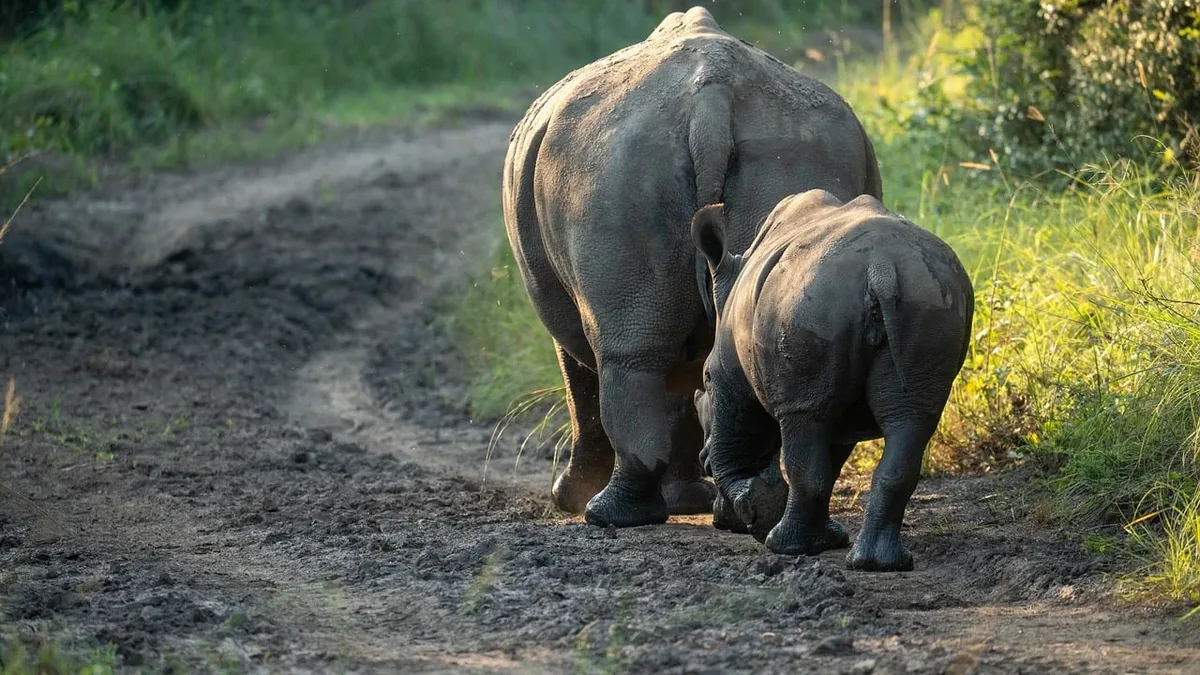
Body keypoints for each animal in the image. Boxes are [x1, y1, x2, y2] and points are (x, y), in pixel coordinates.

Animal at [502, 6, 882, 528]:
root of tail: (712, 96)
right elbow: (689, 390)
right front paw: (690, 500)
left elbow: (584, 385)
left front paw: (570, 497)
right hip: (795, 150)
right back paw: (752, 510)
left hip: (611, 165)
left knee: (629, 358)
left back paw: (608, 514)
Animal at [690, 190, 974, 571]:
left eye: (704, 379)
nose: (701, 460)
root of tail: (882, 269)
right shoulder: (838, 411)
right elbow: (832, 457)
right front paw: (824, 538)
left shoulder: (726, 374)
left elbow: (735, 435)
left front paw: (757, 511)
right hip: (929, 299)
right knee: (912, 419)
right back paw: (878, 564)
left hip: (813, 302)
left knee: (804, 420)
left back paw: (783, 546)